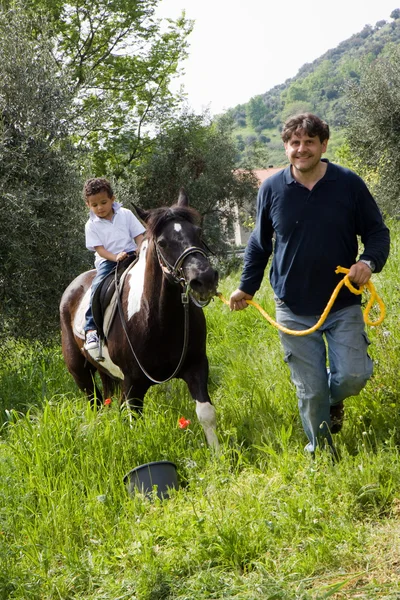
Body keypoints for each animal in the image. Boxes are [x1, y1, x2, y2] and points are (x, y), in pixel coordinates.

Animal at [60, 190, 219, 448]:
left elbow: (206, 413)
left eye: (198, 232)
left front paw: (218, 454)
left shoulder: (196, 365)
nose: (204, 279)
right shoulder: (132, 384)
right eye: (162, 242)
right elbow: (134, 426)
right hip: (80, 372)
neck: (157, 319)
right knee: (94, 403)